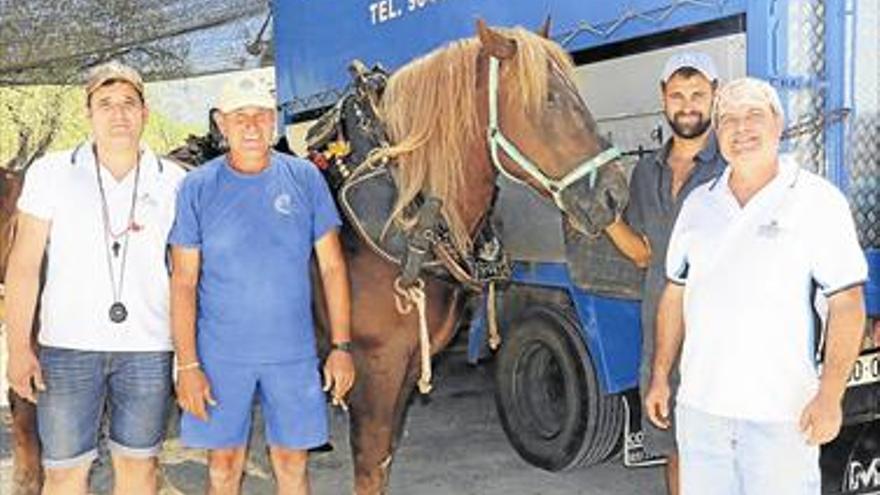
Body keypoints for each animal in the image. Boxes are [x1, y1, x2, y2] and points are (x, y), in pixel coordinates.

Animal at [320, 21, 628, 494]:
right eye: (549, 98)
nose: (614, 194)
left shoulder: (408, 366)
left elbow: (385, 460)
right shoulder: (374, 372)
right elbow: (371, 467)